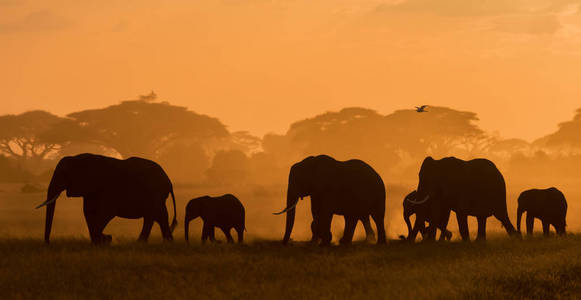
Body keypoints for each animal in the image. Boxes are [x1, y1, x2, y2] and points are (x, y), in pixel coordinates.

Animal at [35, 154, 177, 245]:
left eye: (64, 174)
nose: (48, 243)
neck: (78, 158)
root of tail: (169, 181)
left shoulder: (108, 189)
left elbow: (105, 213)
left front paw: (106, 240)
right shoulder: (90, 190)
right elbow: (88, 212)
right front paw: (100, 242)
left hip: (155, 193)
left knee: (151, 216)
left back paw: (141, 243)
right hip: (157, 196)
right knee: (160, 216)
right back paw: (167, 243)